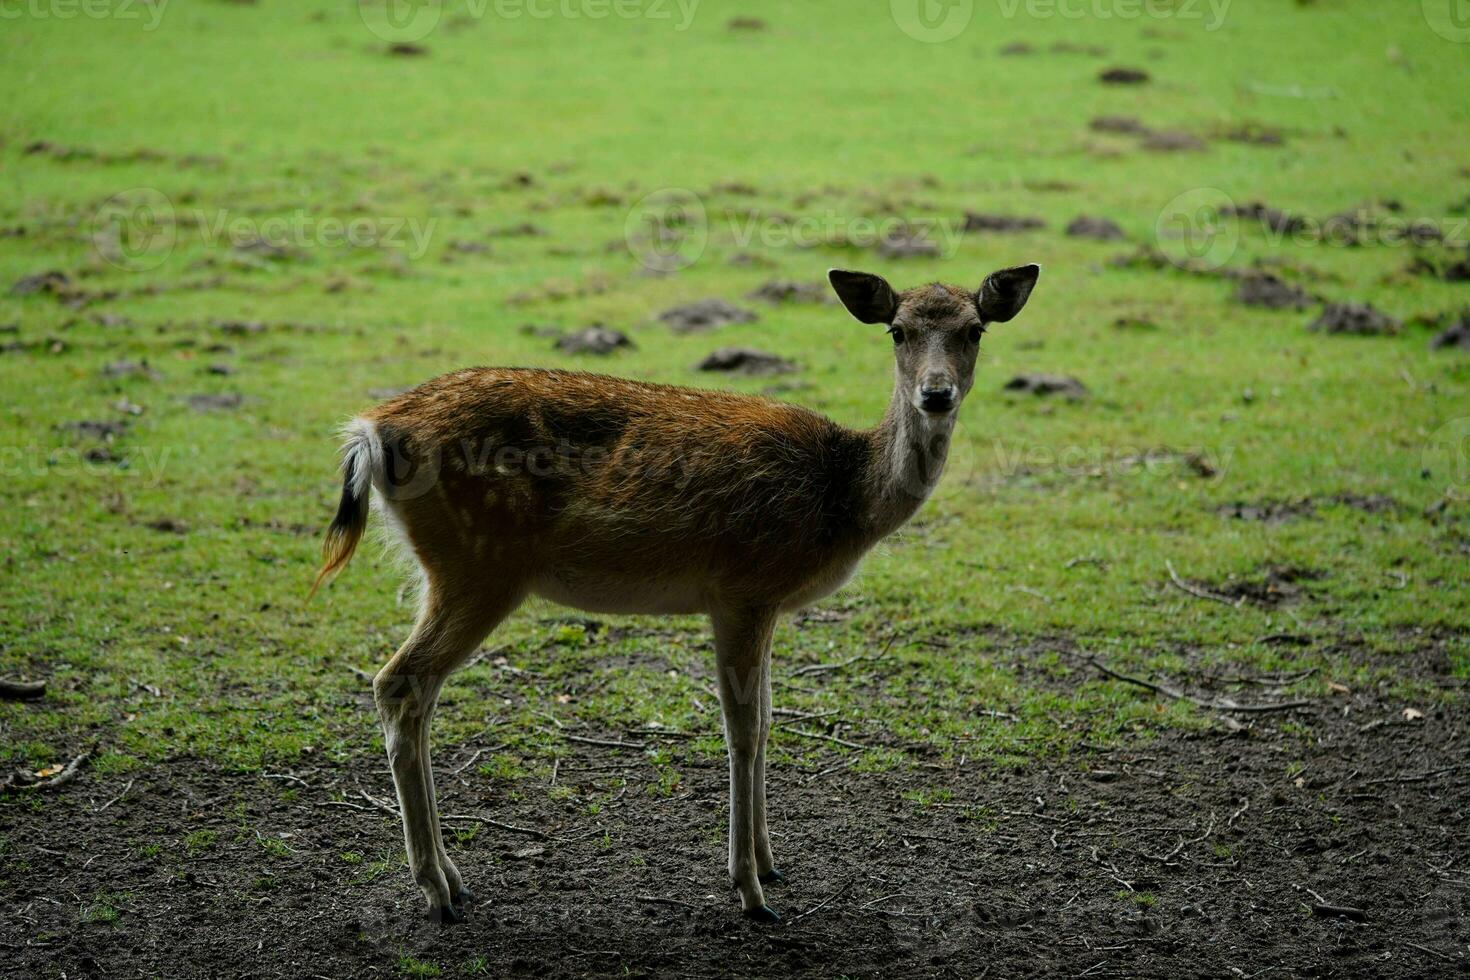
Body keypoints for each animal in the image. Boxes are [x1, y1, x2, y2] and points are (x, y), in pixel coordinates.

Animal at [316, 264, 1040, 922]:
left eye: (974, 329)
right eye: (897, 330)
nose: (936, 395)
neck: (845, 501)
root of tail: (369, 430)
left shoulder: (765, 603)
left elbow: (769, 719)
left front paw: (771, 865)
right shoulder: (742, 586)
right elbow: (742, 728)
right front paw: (749, 892)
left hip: (453, 568)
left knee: (415, 690)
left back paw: (452, 879)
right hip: (478, 564)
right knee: (399, 682)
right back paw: (438, 890)